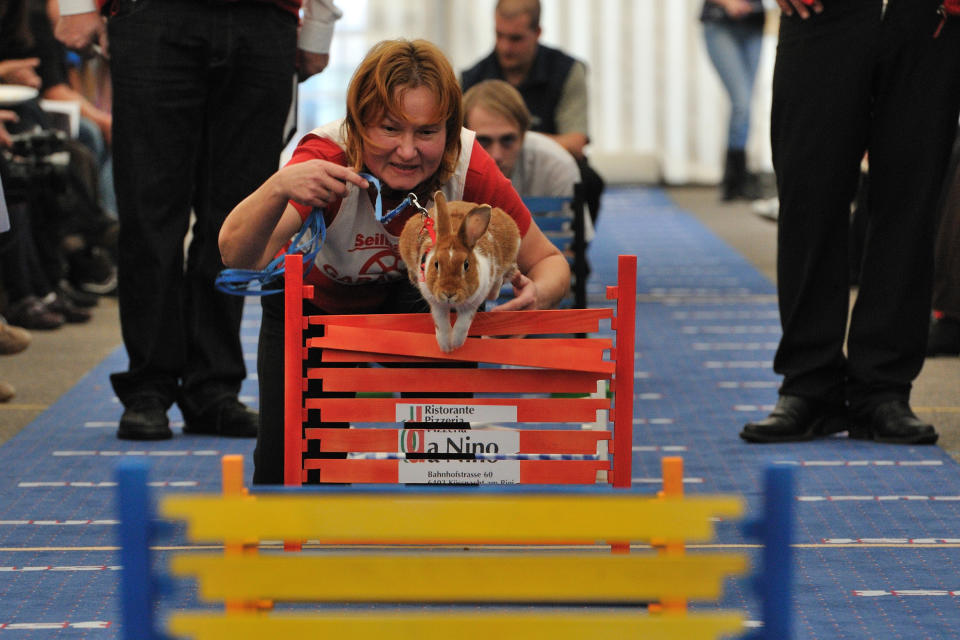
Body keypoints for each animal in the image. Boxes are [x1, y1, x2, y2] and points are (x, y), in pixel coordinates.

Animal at [398, 190, 516, 352]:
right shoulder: (435, 302)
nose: (449, 293)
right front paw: (446, 346)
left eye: (466, 265)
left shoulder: (474, 301)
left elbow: (463, 323)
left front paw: (456, 343)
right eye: (436, 264)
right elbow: (441, 322)